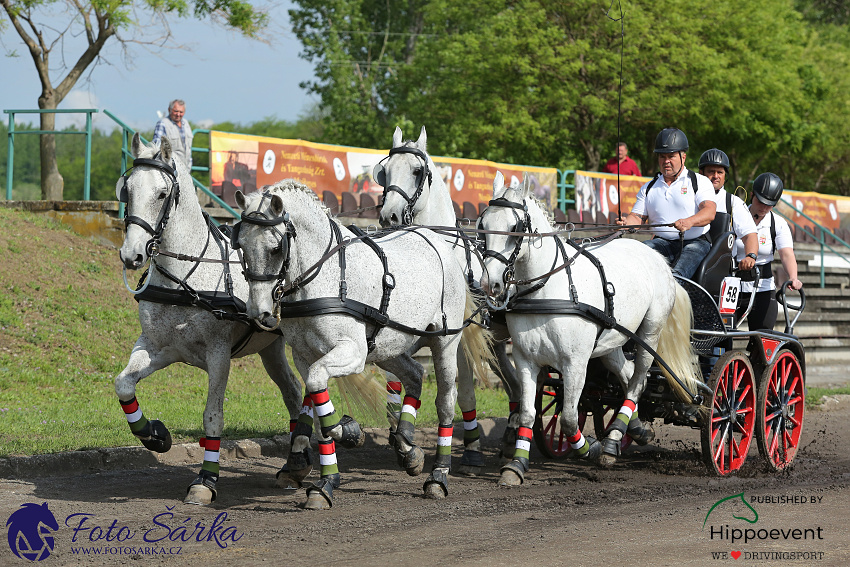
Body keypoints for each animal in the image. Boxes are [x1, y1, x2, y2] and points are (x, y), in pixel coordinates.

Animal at [378, 125, 524, 462]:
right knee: (516, 386)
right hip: (497, 343)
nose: (389, 216)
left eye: (417, 171)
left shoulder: (458, 340)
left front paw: (470, 446)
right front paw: (399, 436)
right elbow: (396, 383)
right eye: (384, 172)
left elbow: (464, 391)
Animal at [474, 174, 700, 484]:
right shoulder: (525, 360)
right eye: (482, 225)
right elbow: (528, 414)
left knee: (638, 379)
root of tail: (660, 260)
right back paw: (633, 430)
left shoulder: (575, 364)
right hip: (612, 340)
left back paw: (612, 442)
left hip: (649, 333)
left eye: (515, 228)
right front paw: (516, 466)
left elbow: (569, 419)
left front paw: (590, 448)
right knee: (628, 375)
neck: (548, 291)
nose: (490, 284)